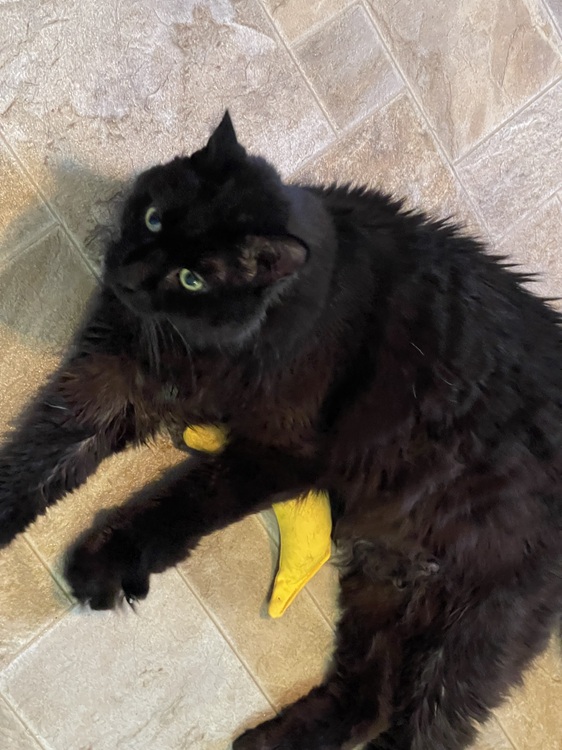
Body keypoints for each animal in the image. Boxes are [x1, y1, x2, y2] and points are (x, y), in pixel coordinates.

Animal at [0, 111, 561, 750]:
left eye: (192, 279)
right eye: (153, 217)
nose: (128, 271)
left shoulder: (284, 455)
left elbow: (184, 504)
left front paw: (109, 563)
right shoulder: (109, 379)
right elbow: (41, 459)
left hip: (471, 633)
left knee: (423, 726)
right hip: (385, 579)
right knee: (365, 697)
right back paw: (268, 742)